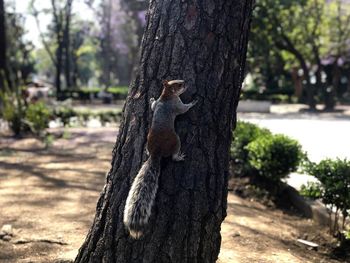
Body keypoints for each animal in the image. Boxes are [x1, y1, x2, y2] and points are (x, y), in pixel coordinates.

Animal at [123, 80, 197, 239]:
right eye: (179, 84)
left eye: (178, 80)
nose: (186, 83)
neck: (166, 96)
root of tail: (156, 152)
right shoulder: (177, 104)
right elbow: (184, 109)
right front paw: (194, 102)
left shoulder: (158, 103)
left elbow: (153, 105)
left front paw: (151, 99)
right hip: (176, 141)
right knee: (173, 155)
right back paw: (179, 157)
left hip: (149, 142)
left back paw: (146, 151)